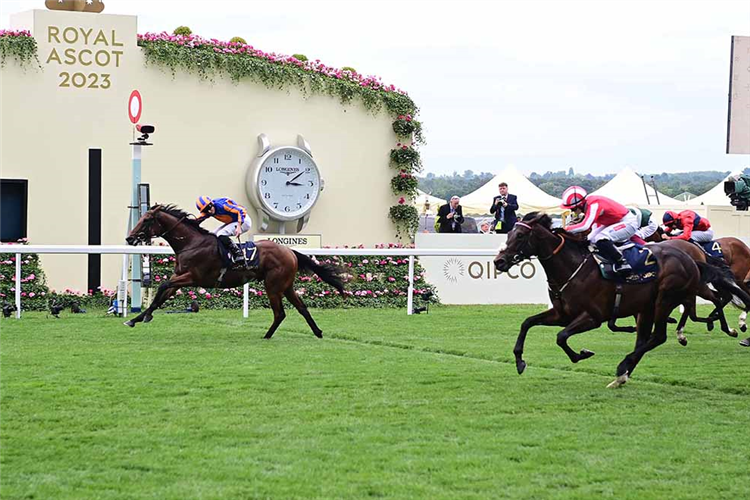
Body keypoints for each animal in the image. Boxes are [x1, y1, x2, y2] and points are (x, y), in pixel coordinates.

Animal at [124, 204, 346, 340]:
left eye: (146, 220)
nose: (129, 238)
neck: (191, 244)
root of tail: (290, 251)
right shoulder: (178, 277)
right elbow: (159, 297)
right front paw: (136, 319)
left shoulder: (192, 278)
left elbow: (162, 286)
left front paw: (144, 317)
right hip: (286, 286)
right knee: (302, 308)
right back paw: (317, 332)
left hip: (273, 286)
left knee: (280, 313)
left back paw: (267, 335)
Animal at [494, 211, 750, 386]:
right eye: (509, 233)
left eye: (520, 235)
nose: (499, 261)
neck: (573, 267)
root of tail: (691, 258)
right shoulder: (562, 314)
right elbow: (527, 323)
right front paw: (519, 361)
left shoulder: (592, 317)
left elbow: (561, 337)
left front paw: (581, 354)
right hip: (649, 306)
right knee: (648, 337)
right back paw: (623, 374)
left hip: (666, 298)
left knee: (661, 334)